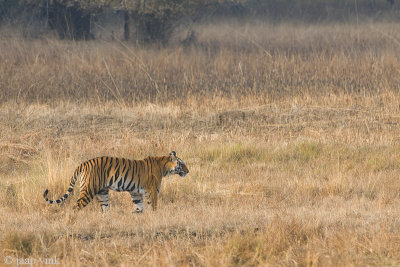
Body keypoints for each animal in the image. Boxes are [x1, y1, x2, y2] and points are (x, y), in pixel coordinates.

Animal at [43, 153, 190, 214]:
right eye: (181, 164)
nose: (188, 171)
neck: (164, 166)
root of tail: (83, 164)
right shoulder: (152, 191)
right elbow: (152, 206)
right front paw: (154, 217)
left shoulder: (135, 192)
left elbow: (140, 207)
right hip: (88, 190)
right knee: (75, 207)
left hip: (102, 193)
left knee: (104, 210)